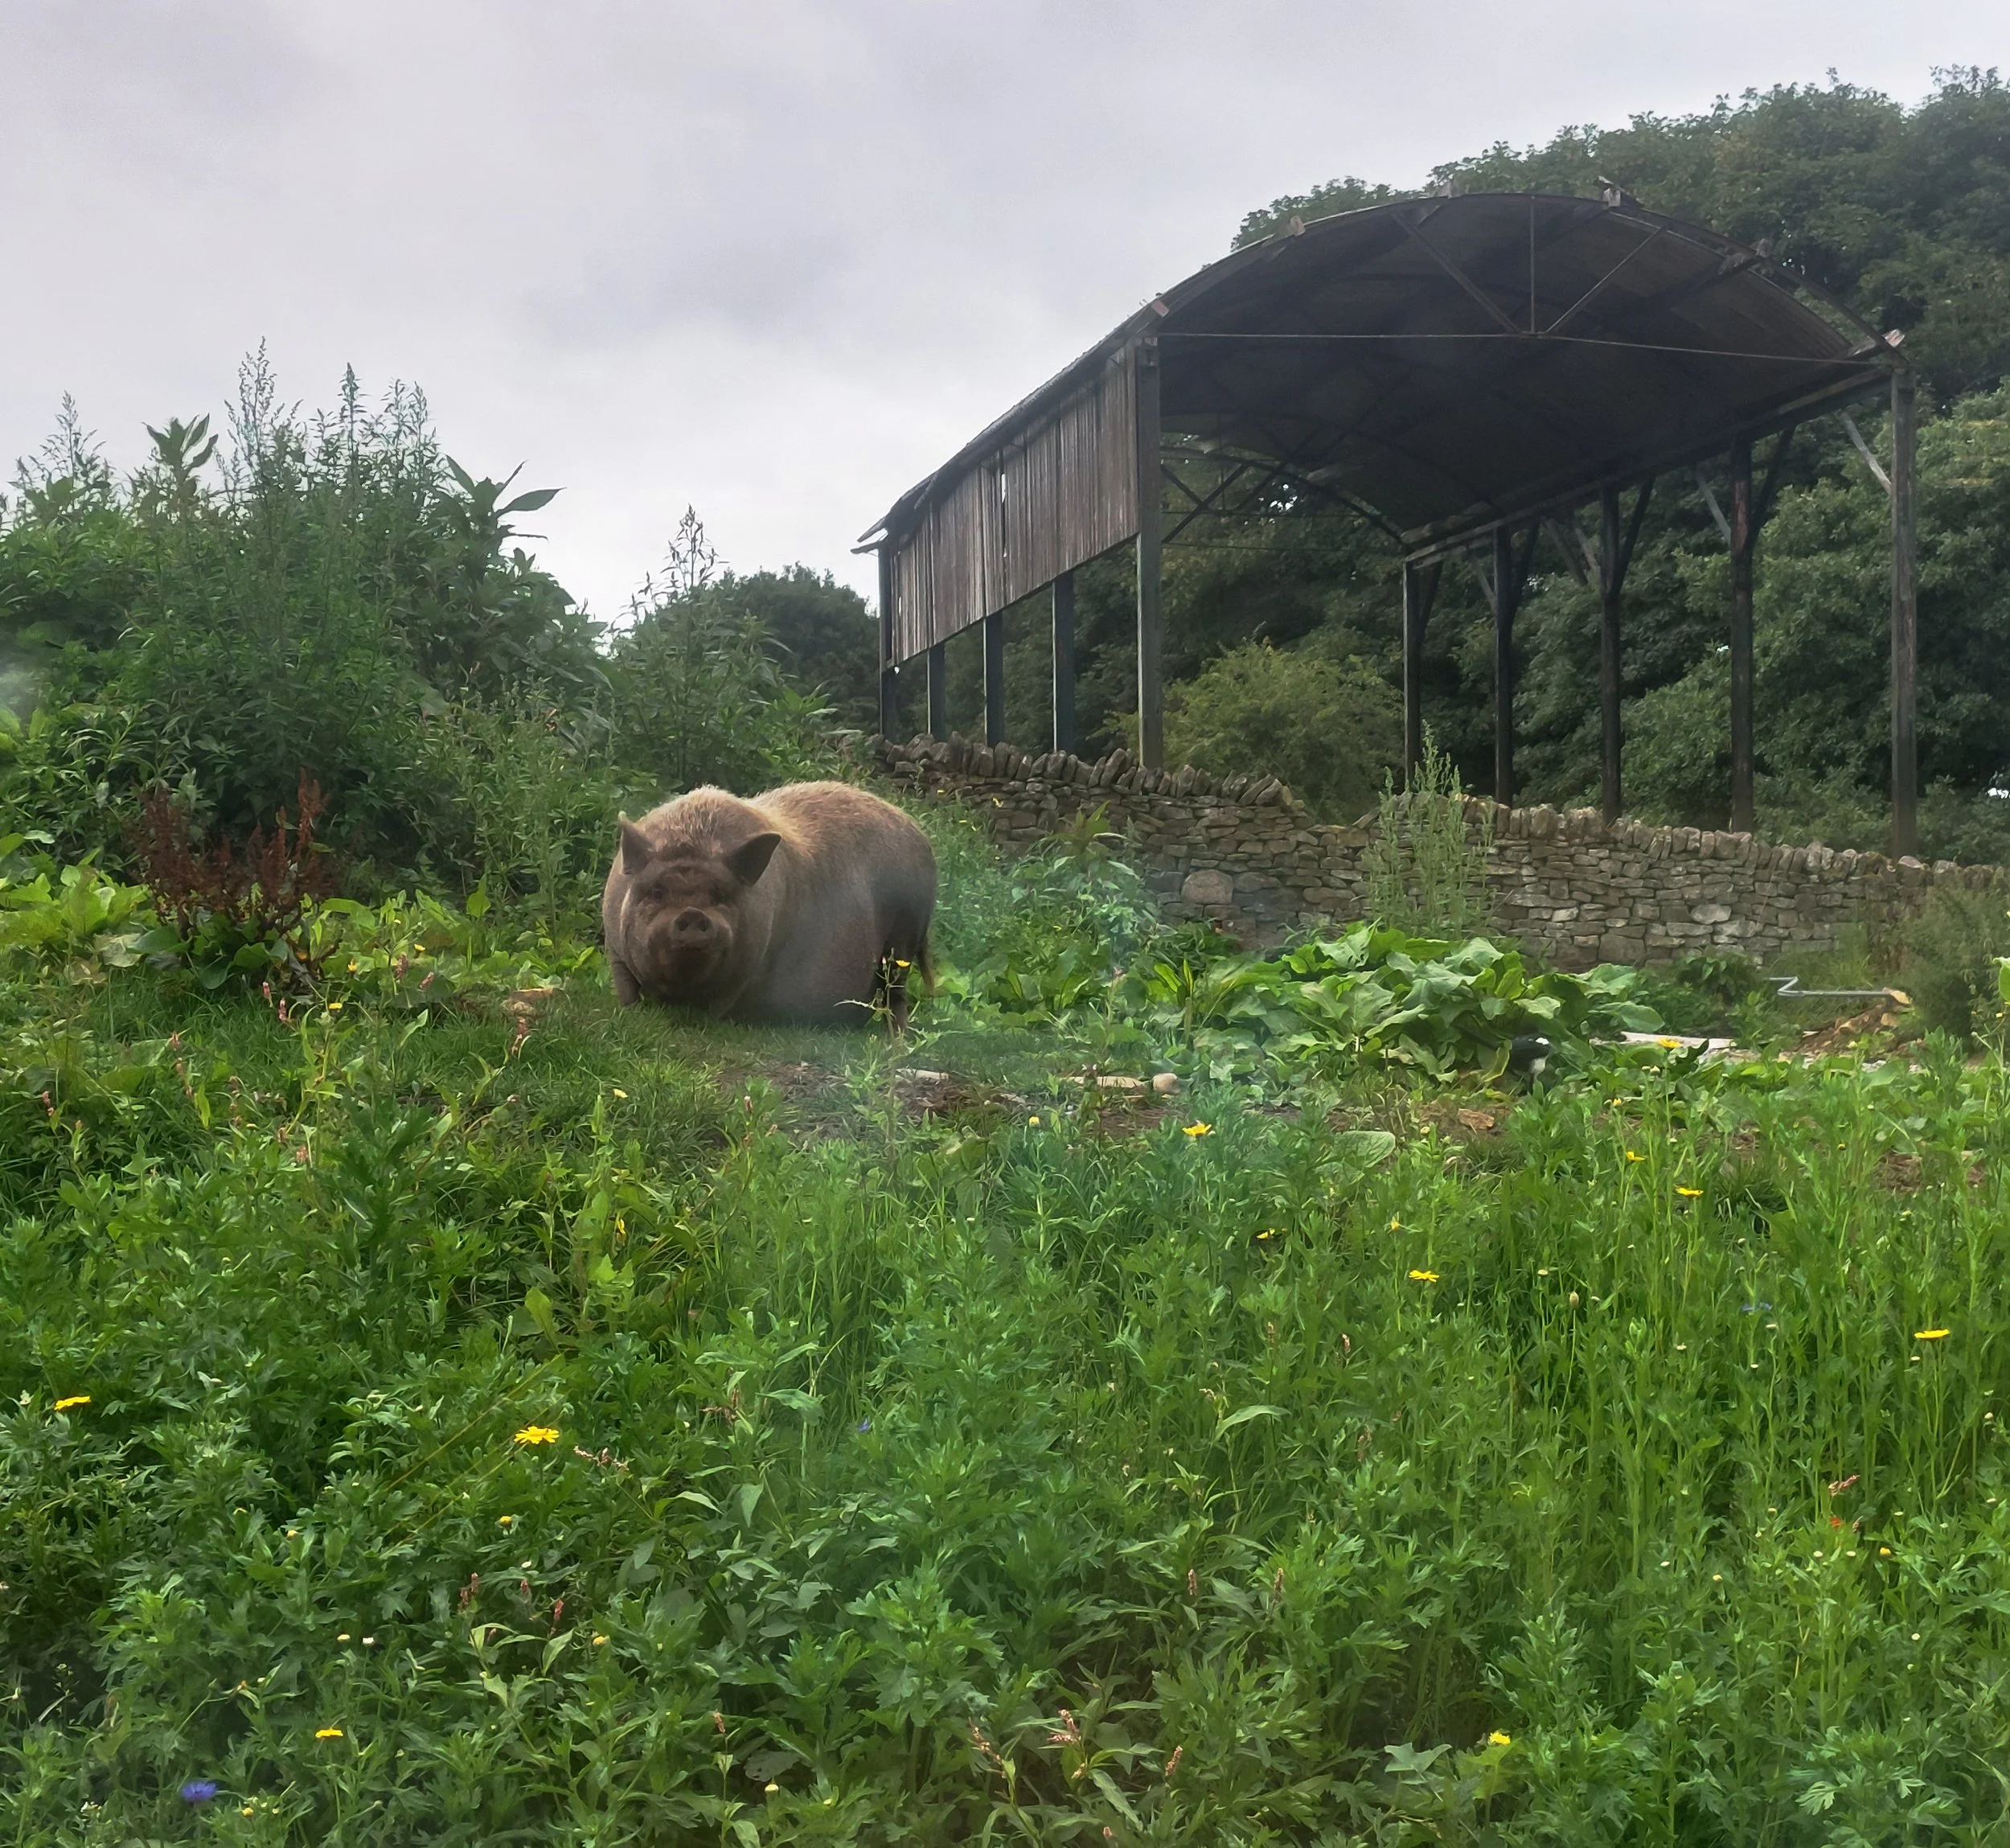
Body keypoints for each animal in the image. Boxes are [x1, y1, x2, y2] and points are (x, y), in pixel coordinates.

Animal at [601, 780, 936, 1026]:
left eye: (721, 896)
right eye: (657, 892)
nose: (693, 914)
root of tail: (920, 837)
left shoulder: (749, 966)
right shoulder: (615, 948)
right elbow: (625, 988)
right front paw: (631, 1012)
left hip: (906, 933)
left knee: (897, 990)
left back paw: (897, 1037)